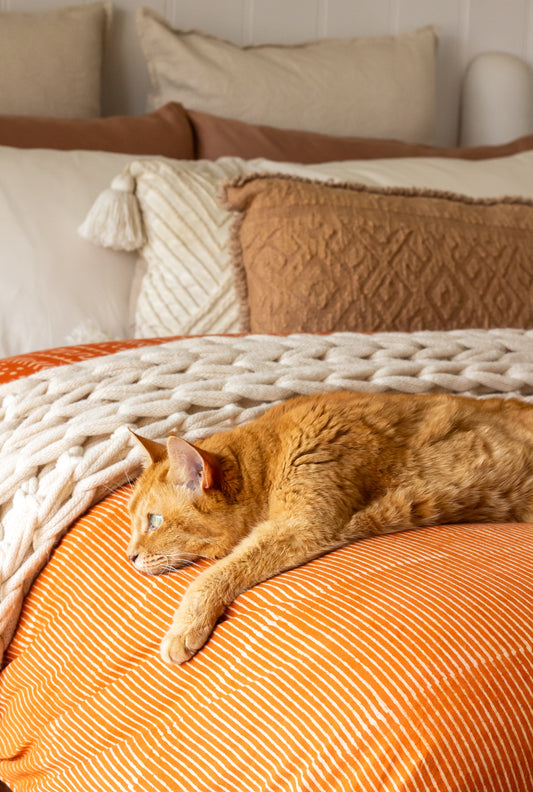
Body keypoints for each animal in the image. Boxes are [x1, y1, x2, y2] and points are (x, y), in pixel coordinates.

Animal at [127, 392, 532, 664]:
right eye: (133, 519)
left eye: (154, 521)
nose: (129, 557)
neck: (271, 456)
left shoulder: (302, 525)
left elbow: (210, 576)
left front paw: (183, 627)